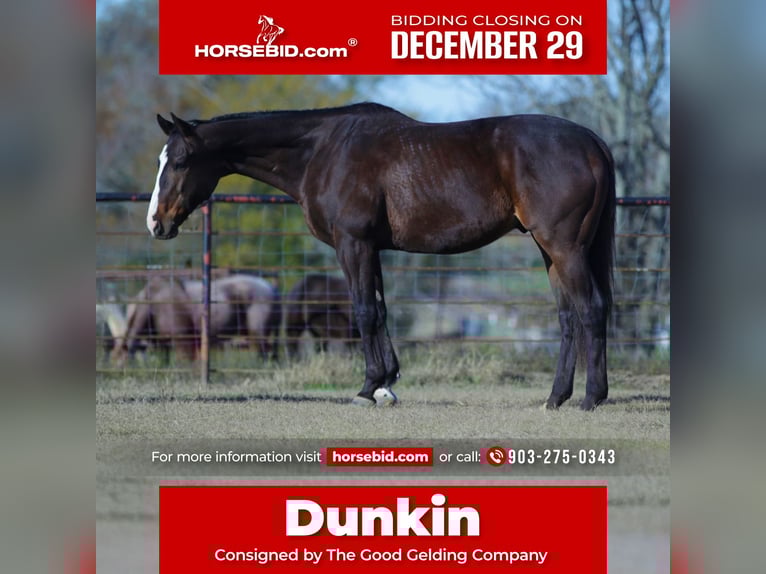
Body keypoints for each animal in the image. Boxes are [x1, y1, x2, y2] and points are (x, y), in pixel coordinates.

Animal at [147, 103, 615, 410]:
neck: (323, 150)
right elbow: (381, 310)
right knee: (569, 318)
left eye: (182, 160)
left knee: (591, 310)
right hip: (550, 251)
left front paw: (367, 387)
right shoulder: (371, 248)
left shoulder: (352, 244)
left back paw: (591, 398)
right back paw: (556, 397)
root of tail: (592, 142)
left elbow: (364, 312)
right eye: (161, 160)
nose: (156, 223)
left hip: (563, 247)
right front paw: (387, 385)